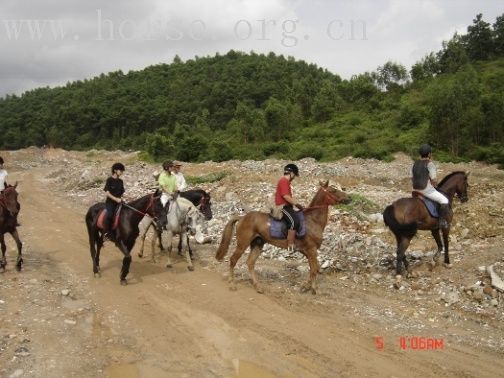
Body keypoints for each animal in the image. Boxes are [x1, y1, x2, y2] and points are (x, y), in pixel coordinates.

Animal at [214, 181, 350, 296]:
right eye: (333, 190)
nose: (348, 198)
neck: (312, 220)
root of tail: (242, 217)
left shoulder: (309, 252)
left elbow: (314, 268)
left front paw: (310, 287)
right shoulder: (311, 250)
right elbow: (314, 269)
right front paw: (309, 288)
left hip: (257, 243)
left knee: (250, 263)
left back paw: (258, 287)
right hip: (243, 243)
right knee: (233, 259)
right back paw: (232, 284)